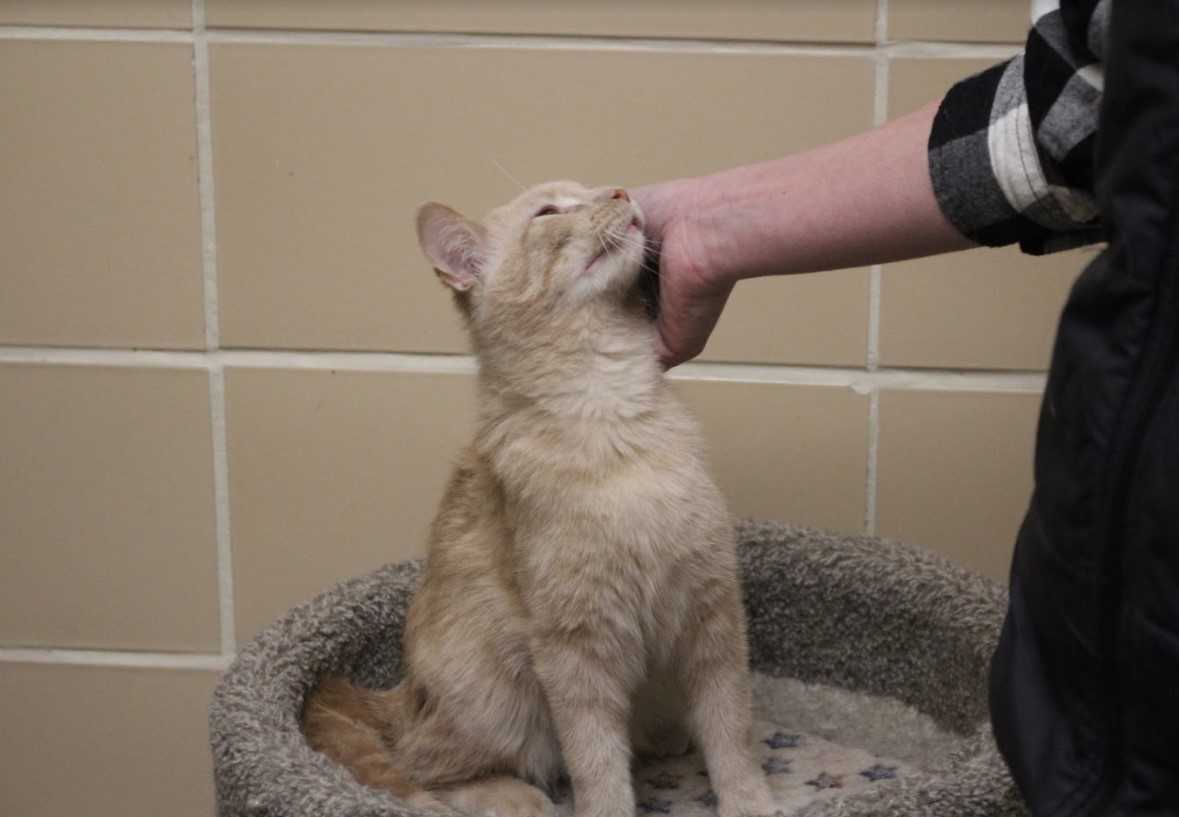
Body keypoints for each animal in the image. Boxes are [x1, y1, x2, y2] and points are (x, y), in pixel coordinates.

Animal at [304, 180, 773, 815]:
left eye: (592, 188)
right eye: (549, 212)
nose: (621, 190)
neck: (611, 418)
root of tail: (403, 695)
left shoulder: (712, 611)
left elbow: (731, 730)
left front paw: (748, 799)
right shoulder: (574, 648)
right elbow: (596, 762)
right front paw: (608, 807)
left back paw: (664, 736)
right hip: (493, 695)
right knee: (422, 770)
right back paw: (514, 795)